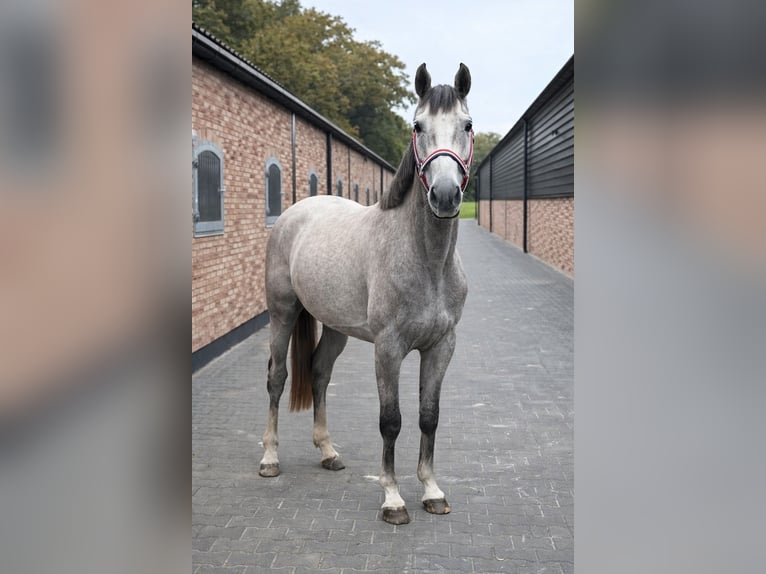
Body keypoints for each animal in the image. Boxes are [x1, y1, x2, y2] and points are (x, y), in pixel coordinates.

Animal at [258, 63, 473, 525]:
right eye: (417, 126)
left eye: (467, 125)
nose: (446, 196)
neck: (427, 263)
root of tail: (294, 213)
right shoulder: (388, 349)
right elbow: (390, 420)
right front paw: (392, 498)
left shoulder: (441, 346)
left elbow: (429, 416)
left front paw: (431, 491)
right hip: (282, 314)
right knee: (277, 377)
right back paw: (269, 459)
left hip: (336, 327)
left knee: (319, 372)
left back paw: (328, 452)